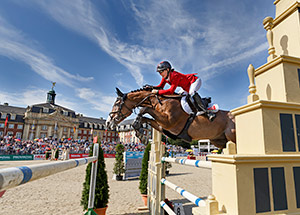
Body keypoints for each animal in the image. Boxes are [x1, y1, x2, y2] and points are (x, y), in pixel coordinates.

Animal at [106, 87, 236, 148]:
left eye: (117, 103)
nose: (108, 123)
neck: (161, 102)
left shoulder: (169, 122)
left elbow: (145, 110)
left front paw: (141, 134)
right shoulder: (163, 126)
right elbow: (146, 118)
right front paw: (140, 132)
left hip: (232, 137)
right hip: (219, 141)